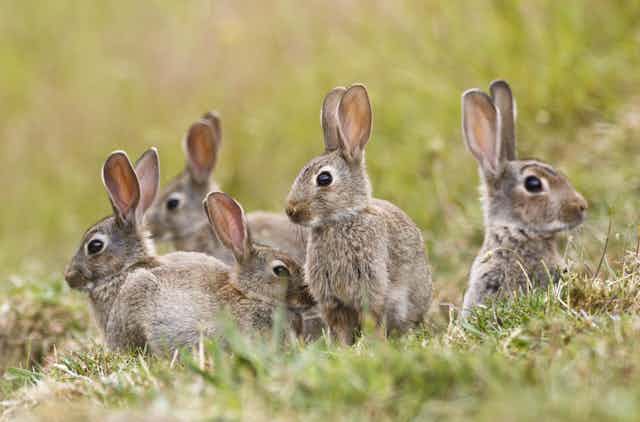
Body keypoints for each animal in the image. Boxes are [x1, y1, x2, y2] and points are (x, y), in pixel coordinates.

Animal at [285, 84, 433, 345]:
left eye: (324, 178)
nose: (290, 210)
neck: (341, 220)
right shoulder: (333, 301)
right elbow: (340, 328)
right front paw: (342, 348)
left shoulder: (370, 289)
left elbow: (372, 320)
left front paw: (374, 345)